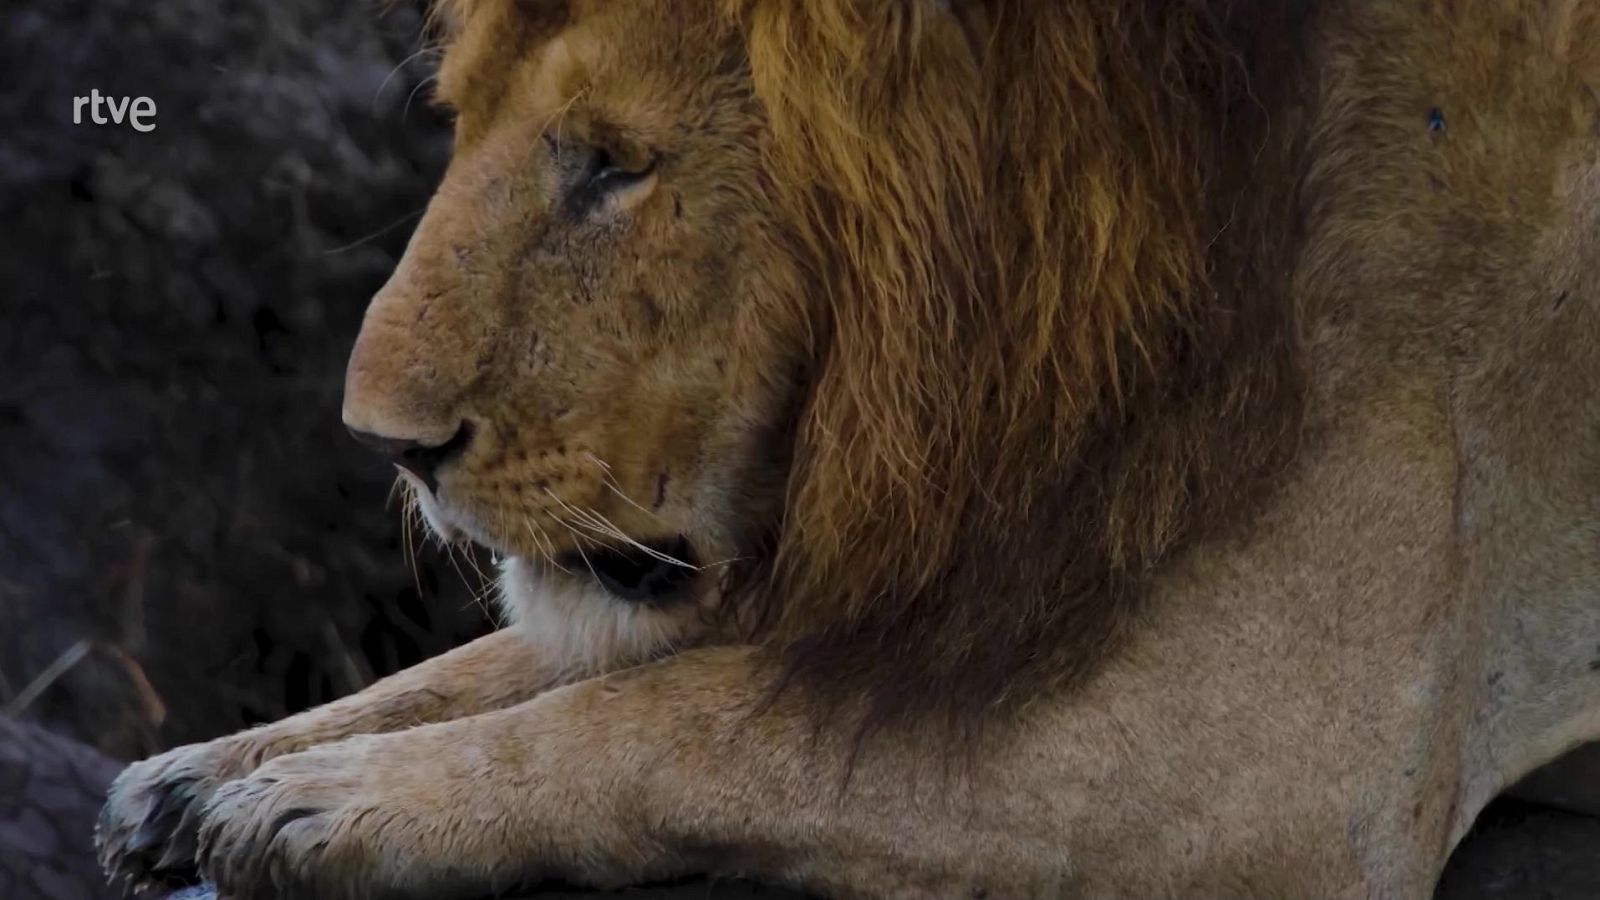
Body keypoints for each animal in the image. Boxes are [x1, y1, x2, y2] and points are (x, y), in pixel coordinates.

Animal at [97, 0, 1600, 897]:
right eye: (457, 120)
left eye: (614, 161)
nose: (390, 444)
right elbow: (527, 661)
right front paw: (211, 769)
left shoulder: (1293, 761)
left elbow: (705, 722)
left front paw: (322, 807)